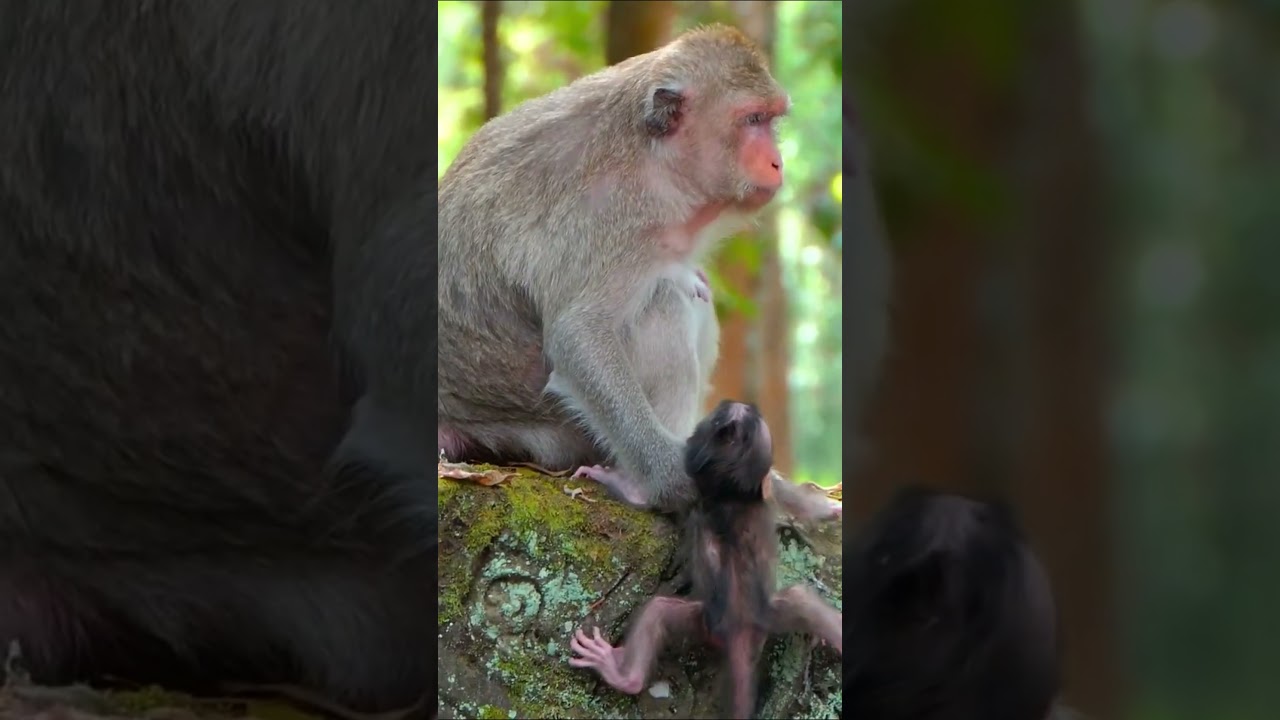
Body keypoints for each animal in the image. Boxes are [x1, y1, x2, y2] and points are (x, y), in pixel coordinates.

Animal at [437, 25, 839, 524]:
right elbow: (580, 336)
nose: (777, 162)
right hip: (551, 430)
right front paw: (673, 481)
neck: (650, 155)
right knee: (664, 303)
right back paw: (639, 483)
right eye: (752, 119)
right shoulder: (607, 211)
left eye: (770, 119)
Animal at [566, 400, 843, 719]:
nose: (737, 404)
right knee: (800, 598)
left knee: (657, 612)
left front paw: (605, 477)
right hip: (764, 615)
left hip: (706, 622)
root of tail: (741, 628)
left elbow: (648, 498)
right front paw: (833, 509)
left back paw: (620, 674)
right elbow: (801, 504)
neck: (732, 496)